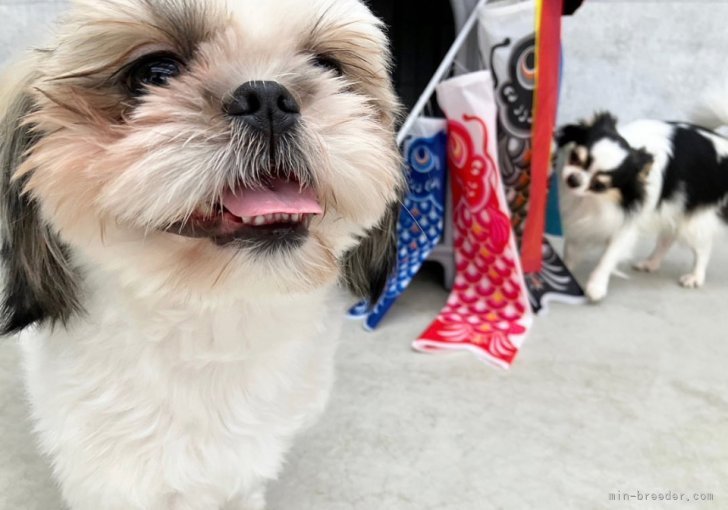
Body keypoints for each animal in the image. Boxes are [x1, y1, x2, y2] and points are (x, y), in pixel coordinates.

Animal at [0, 1, 404, 508]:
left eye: (330, 66)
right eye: (154, 72)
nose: (268, 97)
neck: (212, 321)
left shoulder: (241, 473)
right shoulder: (109, 477)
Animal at [556, 111, 728, 300]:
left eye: (599, 185)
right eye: (575, 158)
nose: (574, 180)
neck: (595, 200)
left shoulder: (625, 225)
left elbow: (608, 257)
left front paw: (596, 285)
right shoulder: (578, 220)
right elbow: (571, 250)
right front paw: (565, 269)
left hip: (694, 221)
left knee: (703, 248)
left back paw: (695, 276)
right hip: (674, 208)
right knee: (667, 239)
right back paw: (651, 263)